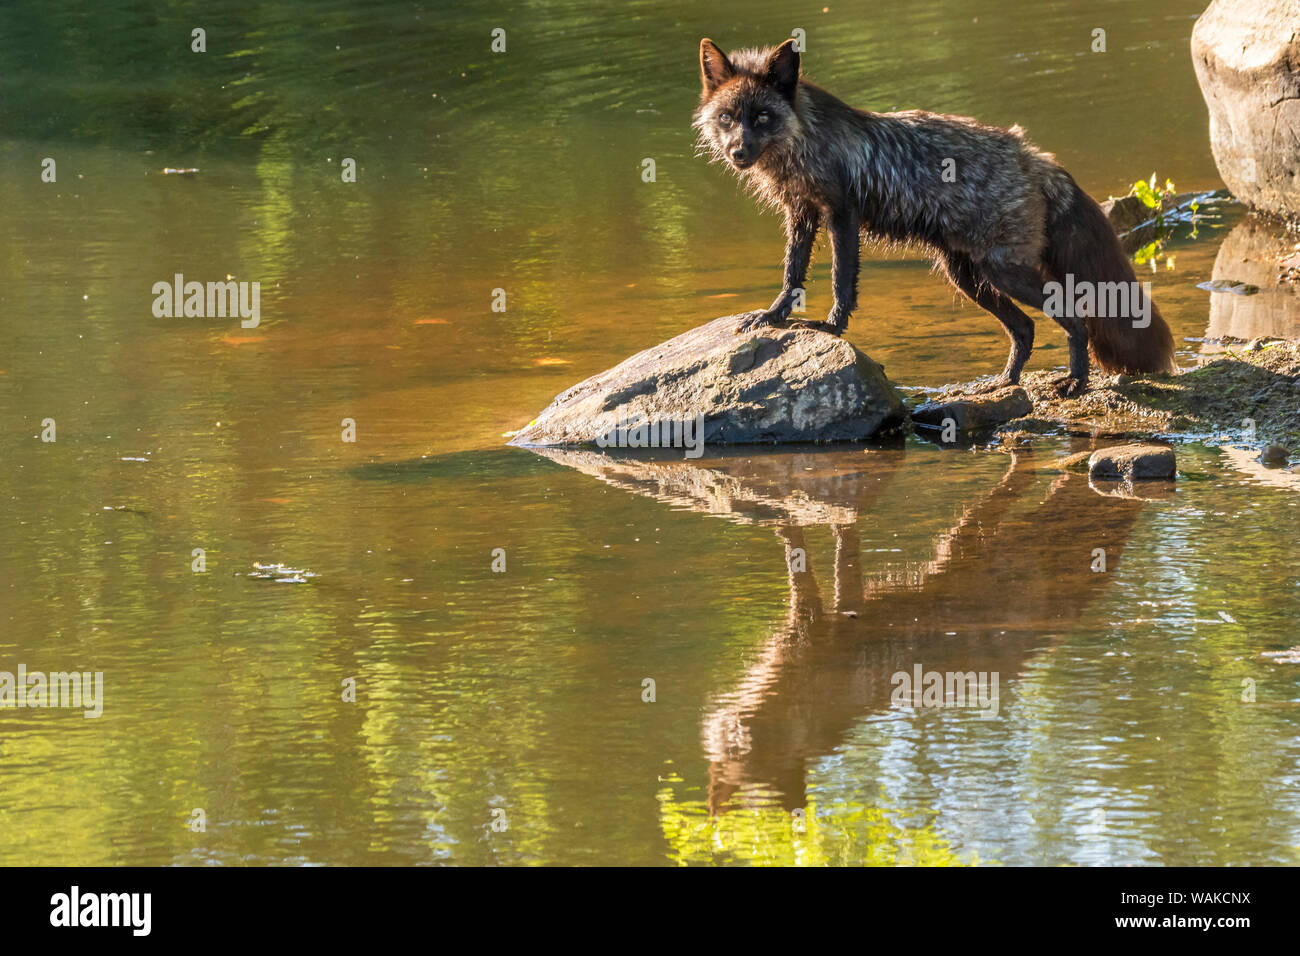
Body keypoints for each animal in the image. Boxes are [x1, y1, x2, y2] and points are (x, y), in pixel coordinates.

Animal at [692, 37, 1176, 396]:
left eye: (762, 117)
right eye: (728, 117)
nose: (738, 153)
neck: (802, 141)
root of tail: (1036, 158)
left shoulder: (841, 214)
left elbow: (840, 280)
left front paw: (831, 327)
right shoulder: (800, 213)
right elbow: (793, 273)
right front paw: (773, 317)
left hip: (1003, 272)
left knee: (1074, 315)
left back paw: (1075, 381)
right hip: (967, 276)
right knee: (1024, 329)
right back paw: (1004, 383)